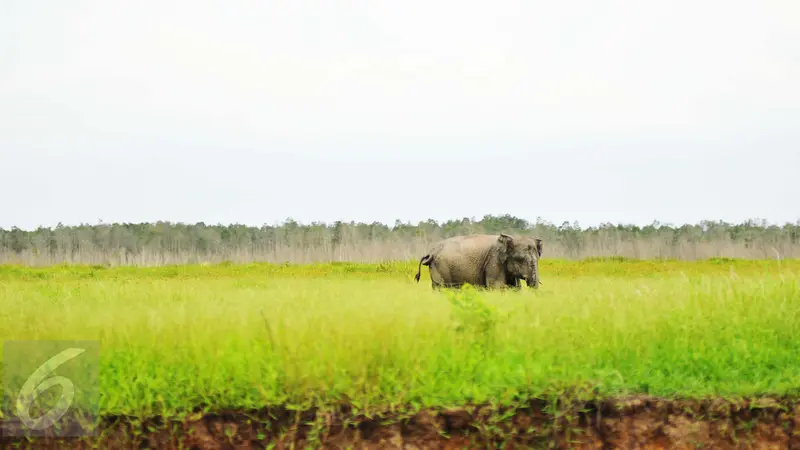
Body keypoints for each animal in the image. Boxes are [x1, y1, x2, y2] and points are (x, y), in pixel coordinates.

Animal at [412, 234, 544, 290]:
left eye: (538, 259)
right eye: (520, 259)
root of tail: (431, 252)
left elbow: (515, 287)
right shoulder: (494, 260)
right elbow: (496, 287)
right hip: (441, 268)